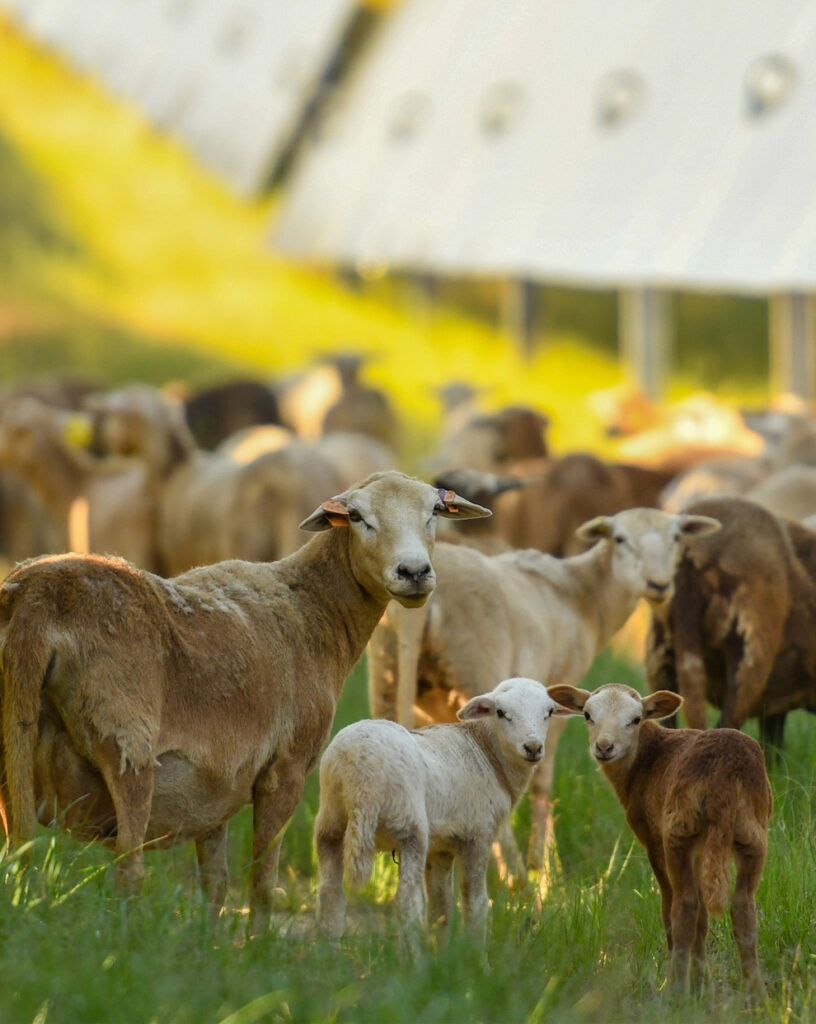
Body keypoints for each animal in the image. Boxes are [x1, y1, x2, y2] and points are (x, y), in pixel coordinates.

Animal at [0, 471, 490, 915]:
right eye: (356, 517)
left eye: (434, 512)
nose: (414, 572)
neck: (313, 609)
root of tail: (34, 598)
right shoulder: (286, 768)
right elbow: (262, 880)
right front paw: (259, 942)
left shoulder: (214, 784)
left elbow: (216, 884)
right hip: (127, 742)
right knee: (129, 870)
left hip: (14, 755)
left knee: (20, 851)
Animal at [315, 677, 569, 948]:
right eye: (501, 713)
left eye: (549, 712)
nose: (533, 747)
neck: (487, 753)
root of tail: (358, 768)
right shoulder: (479, 836)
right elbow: (474, 903)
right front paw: (476, 953)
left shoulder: (441, 848)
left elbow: (441, 905)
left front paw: (443, 952)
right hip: (410, 827)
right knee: (407, 902)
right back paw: (414, 956)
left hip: (330, 818)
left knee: (330, 892)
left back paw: (331, 950)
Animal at [368, 507, 720, 882]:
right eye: (620, 539)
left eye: (677, 538)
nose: (659, 585)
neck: (582, 596)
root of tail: (416, 612)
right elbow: (543, 777)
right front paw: (544, 867)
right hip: (476, 668)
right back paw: (517, 877)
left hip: (387, 671)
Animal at [547, 683, 772, 997]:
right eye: (588, 715)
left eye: (636, 719)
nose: (604, 747)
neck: (642, 760)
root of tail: (724, 776)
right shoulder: (701, 851)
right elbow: (704, 919)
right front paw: (701, 983)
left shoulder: (652, 837)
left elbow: (675, 909)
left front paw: (693, 984)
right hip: (752, 832)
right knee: (743, 908)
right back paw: (756, 995)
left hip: (679, 830)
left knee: (682, 907)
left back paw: (675, 991)